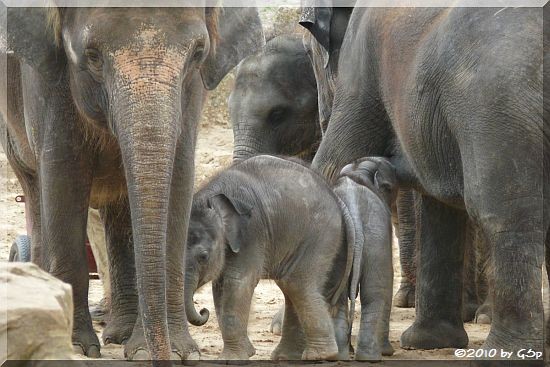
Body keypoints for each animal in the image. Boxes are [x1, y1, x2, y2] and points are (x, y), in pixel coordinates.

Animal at [1, 5, 266, 362]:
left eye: (198, 53)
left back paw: (121, 334)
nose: (161, 358)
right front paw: (78, 348)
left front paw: (176, 352)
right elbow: (63, 174)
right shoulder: (46, 78)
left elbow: (178, 177)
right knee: (36, 191)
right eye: (92, 55)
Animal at [185, 155, 396, 362]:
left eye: (203, 256)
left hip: (320, 236)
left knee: (296, 284)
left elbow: (237, 283)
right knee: (292, 287)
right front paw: (247, 352)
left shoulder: (252, 234)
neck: (212, 196)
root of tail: (336, 198)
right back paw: (289, 356)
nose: (203, 311)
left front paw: (231, 359)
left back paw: (320, 355)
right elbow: (220, 287)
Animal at [308, 5, 544, 354]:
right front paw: (429, 342)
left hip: (496, 101)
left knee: (506, 212)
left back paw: (505, 352)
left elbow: (335, 157)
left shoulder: (361, 58)